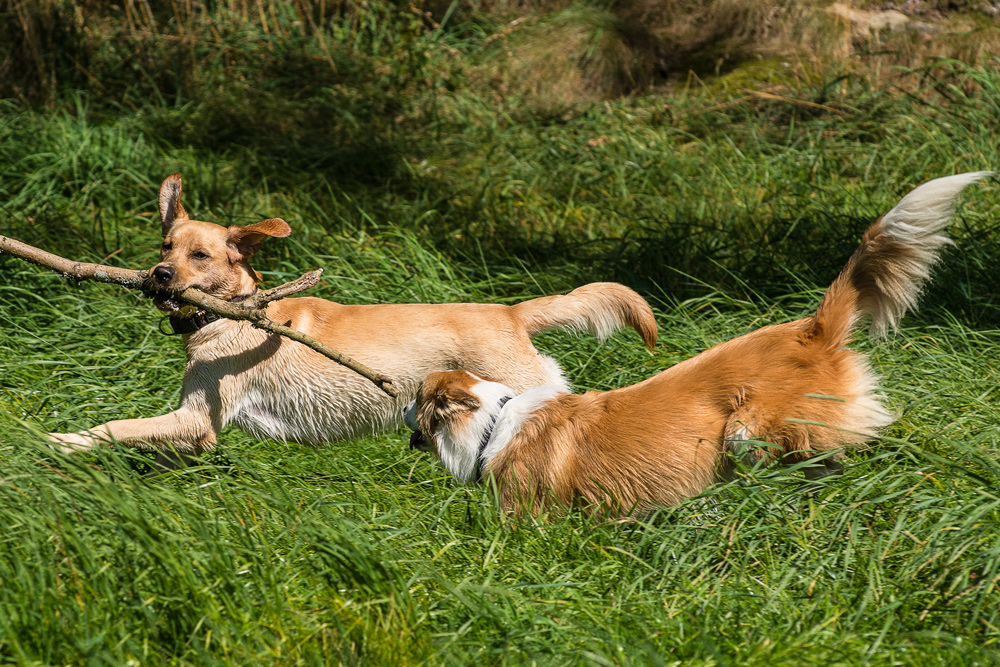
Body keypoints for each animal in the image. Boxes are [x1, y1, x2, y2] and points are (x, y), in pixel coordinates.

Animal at [45, 175, 656, 464]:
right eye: (165, 246)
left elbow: (113, 427)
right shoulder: (197, 433)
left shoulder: (197, 419)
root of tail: (510, 311)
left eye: (200, 256)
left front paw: (59, 442)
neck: (232, 316)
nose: (158, 276)